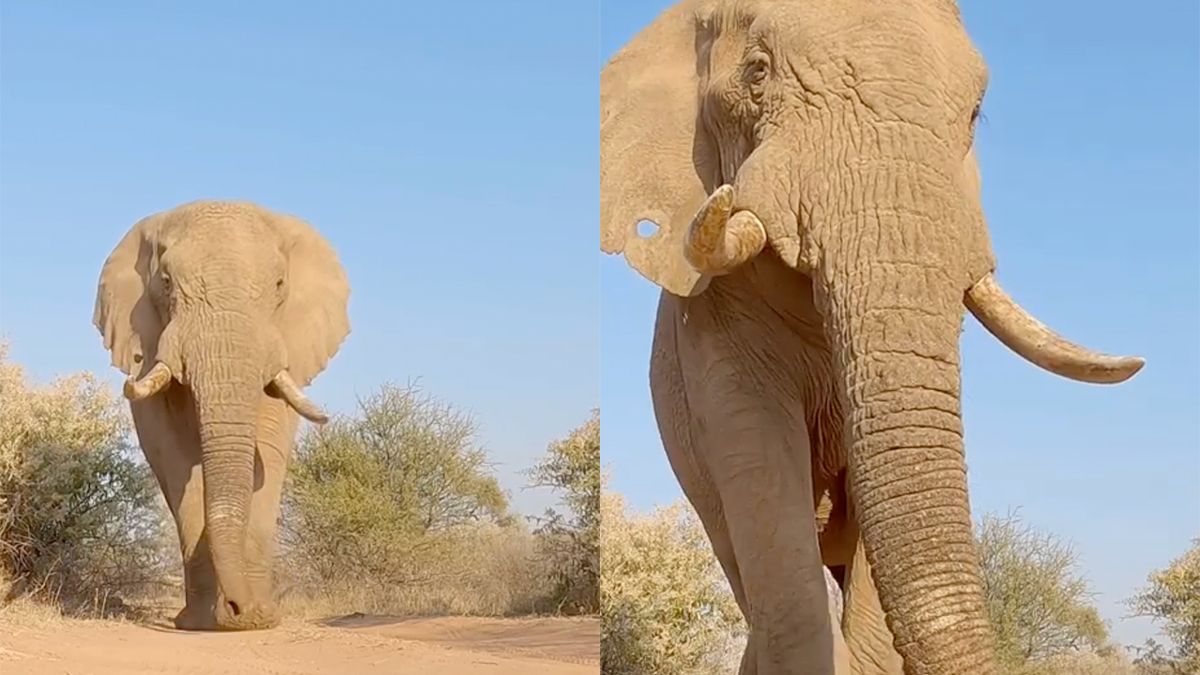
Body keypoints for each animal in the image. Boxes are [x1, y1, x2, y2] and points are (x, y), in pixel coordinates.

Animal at [94, 198, 350, 624]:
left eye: (279, 285)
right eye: (166, 282)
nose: (237, 608)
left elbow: (269, 454)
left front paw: (257, 620)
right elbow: (176, 461)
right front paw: (201, 623)